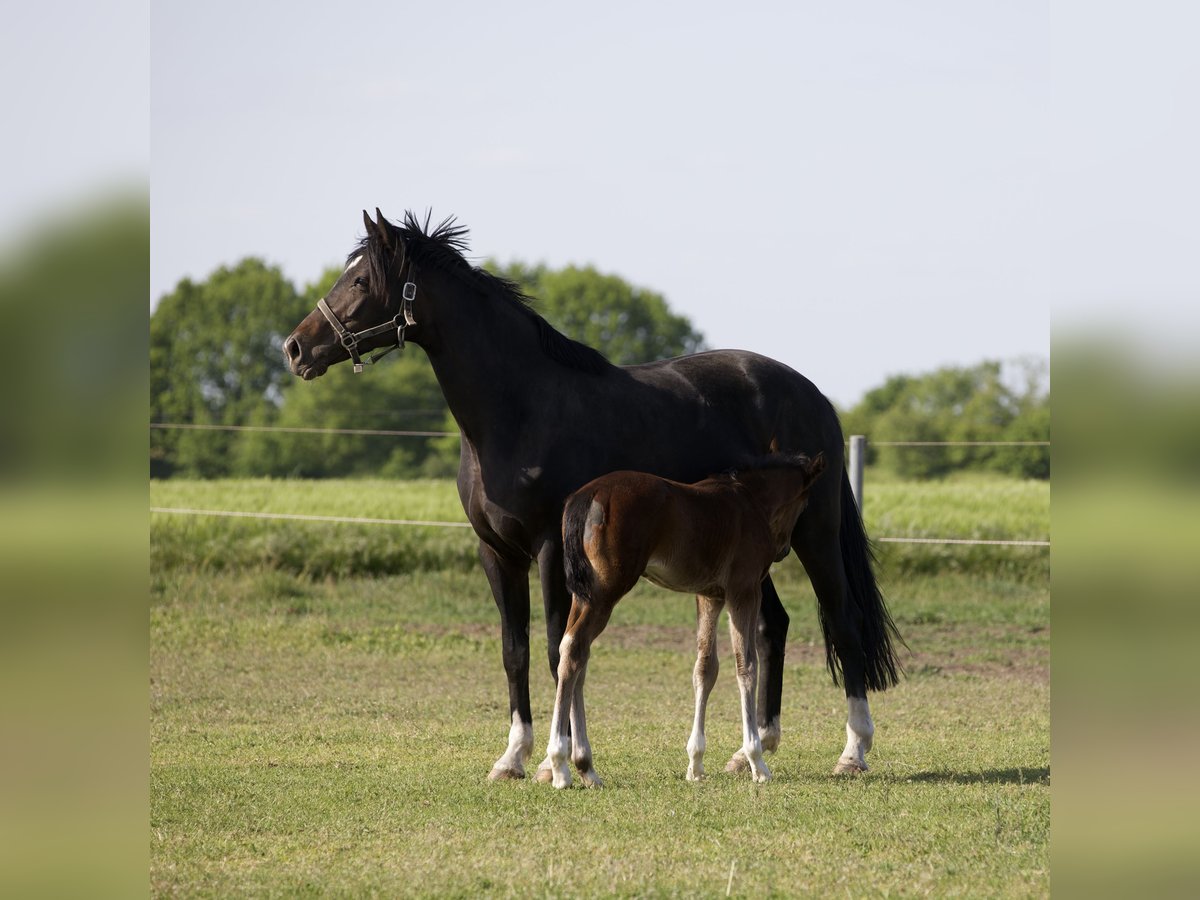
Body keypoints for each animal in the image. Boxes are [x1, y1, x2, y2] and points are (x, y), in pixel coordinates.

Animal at [549, 453, 825, 787]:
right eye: (805, 503)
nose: (783, 550)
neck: (749, 499)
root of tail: (586, 496)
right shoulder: (744, 591)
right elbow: (746, 666)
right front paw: (757, 762)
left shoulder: (709, 596)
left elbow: (705, 669)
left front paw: (695, 765)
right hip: (605, 593)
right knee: (574, 650)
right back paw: (561, 765)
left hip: (585, 595)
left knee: (577, 656)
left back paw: (586, 767)